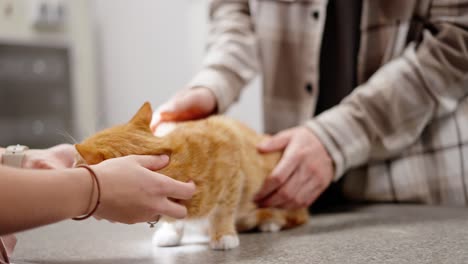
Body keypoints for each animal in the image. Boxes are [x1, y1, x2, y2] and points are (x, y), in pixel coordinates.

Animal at [74, 101, 308, 250]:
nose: (73, 162)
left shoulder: (232, 166)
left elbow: (223, 211)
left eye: (77, 160)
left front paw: (223, 235)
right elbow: (175, 220)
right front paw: (170, 233)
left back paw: (270, 222)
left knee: (295, 217)